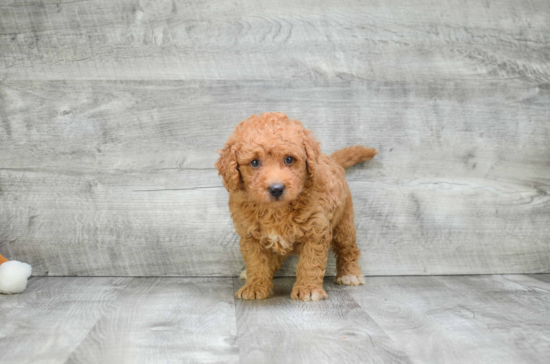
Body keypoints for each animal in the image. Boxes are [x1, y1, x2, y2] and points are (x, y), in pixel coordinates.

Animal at [218, 111, 378, 302]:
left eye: (289, 159)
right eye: (255, 162)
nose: (276, 188)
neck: (277, 211)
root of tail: (329, 160)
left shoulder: (316, 231)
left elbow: (311, 263)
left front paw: (308, 289)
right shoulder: (250, 235)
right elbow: (256, 263)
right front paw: (255, 286)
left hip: (344, 223)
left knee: (348, 248)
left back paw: (350, 274)